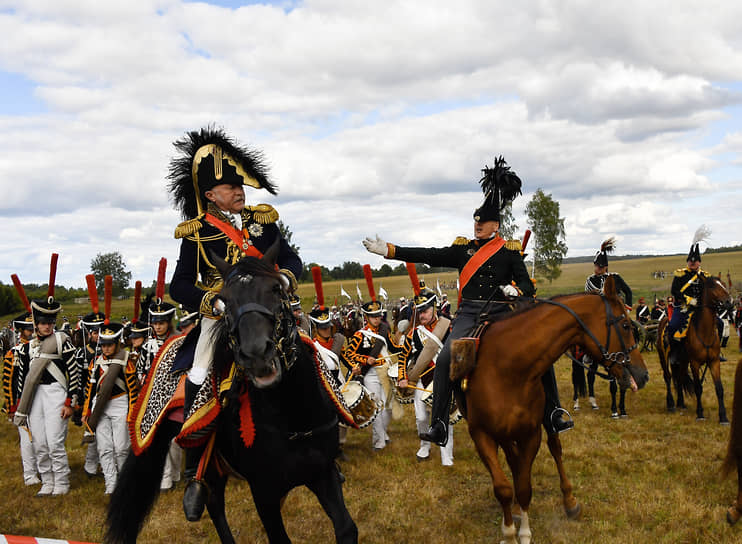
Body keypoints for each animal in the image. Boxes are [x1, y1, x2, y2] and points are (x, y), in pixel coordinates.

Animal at [106, 243, 358, 544]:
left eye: (276, 288)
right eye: (224, 300)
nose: (257, 356)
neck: (293, 416)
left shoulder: (322, 473)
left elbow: (346, 528)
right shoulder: (264, 492)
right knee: (213, 502)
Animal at [462, 276, 648, 544]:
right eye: (624, 324)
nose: (643, 375)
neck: (507, 367)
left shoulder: (531, 434)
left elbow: (524, 486)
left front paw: (524, 533)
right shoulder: (482, 434)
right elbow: (504, 488)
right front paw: (509, 533)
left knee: (555, 448)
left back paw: (569, 502)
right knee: (514, 463)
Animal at [656, 276, 732, 424]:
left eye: (724, 284)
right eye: (713, 286)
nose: (729, 302)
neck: (705, 332)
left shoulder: (714, 362)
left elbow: (719, 388)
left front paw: (723, 417)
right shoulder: (695, 363)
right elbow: (698, 388)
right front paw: (700, 414)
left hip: (682, 361)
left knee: (679, 378)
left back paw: (681, 403)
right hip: (663, 357)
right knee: (667, 377)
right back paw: (671, 404)